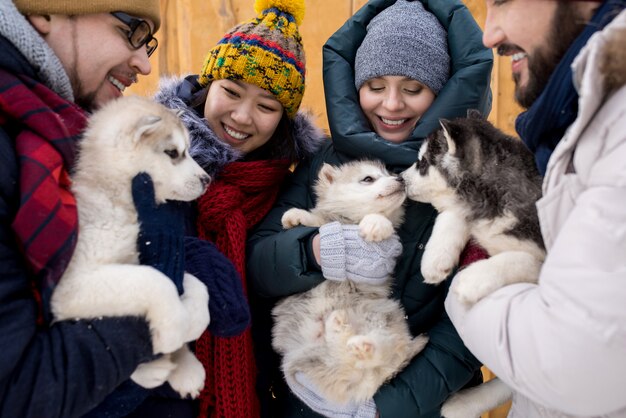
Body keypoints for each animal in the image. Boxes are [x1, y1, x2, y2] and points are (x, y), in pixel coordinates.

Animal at [50, 95, 210, 398]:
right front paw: (172, 331)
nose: (207, 180)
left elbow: (195, 284)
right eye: (173, 152)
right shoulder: (72, 286)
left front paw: (192, 330)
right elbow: (156, 281)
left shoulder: (149, 258)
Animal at [270, 160, 426, 404]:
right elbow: (319, 219)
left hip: (383, 318)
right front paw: (295, 216)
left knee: (376, 360)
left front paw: (375, 224)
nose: (400, 178)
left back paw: (356, 341)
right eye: (368, 178)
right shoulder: (328, 222)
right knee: (350, 368)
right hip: (309, 358)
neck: (352, 220)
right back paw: (341, 332)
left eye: (389, 173)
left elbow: (384, 223)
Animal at [402, 111, 544, 418]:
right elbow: (454, 213)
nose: (399, 178)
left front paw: (472, 278)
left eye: (422, 163)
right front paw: (436, 258)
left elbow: (522, 258)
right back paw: (462, 404)